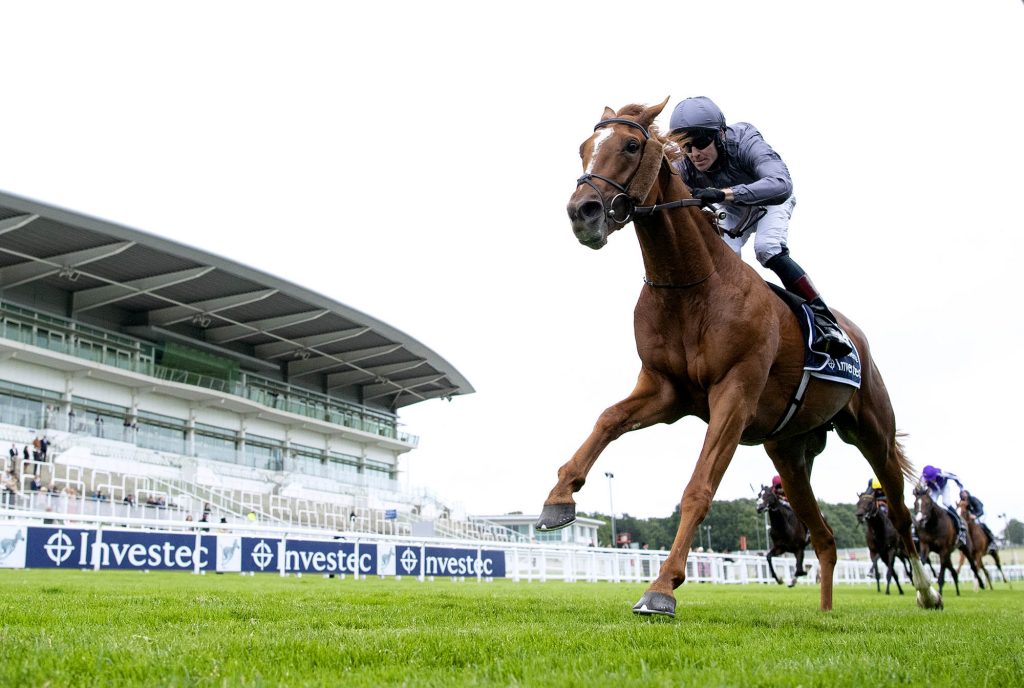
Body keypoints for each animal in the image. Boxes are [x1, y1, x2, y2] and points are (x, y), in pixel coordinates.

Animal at [536, 98, 942, 618]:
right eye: (584, 147)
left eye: (629, 145)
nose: (581, 212)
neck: (691, 285)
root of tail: (859, 338)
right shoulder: (665, 390)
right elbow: (607, 420)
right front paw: (558, 498)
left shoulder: (734, 394)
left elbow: (698, 488)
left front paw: (662, 588)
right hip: (789, 452)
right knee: (825, 536)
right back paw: (826, 611)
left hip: (872, 431)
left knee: (900, 511)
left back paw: (928, 592)